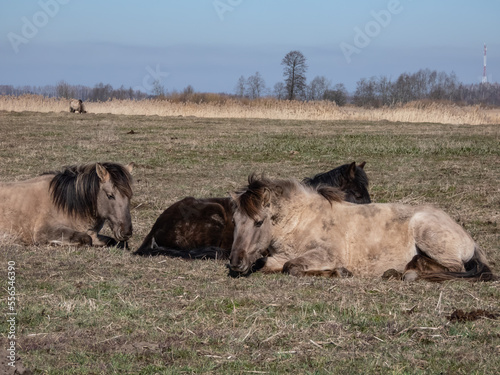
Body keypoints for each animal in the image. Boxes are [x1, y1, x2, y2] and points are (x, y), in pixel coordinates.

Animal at [0, 163, 134, 248]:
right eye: (110, 195)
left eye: (130, 195)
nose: (126, 232)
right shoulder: (45, 231)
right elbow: (86, 239)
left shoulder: (94, 235)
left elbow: (111, 241)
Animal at [229, 176, 494, 282]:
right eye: (235, 221)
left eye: (258, 222)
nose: (234, 263)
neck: (302, 220)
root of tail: (469, 239)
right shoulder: (277, 257)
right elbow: (267, 265)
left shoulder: (325, 254)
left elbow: (291, 268)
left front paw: (339, 272)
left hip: (427, 233)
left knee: (454, 268)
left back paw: (409, 271)